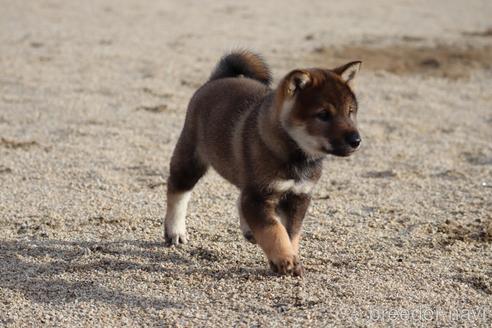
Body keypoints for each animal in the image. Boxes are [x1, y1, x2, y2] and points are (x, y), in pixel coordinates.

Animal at [165, 50, 362, 276]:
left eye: (350, 112)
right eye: (323, 115)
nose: (356, 140)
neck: (296, 157)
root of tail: (217, 79)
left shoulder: (297, 197)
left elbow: (291, 233)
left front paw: (288, 256)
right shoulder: (259, 195)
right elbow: (274, 230)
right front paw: (285, 259)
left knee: (239, 199)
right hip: (191, 159)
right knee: (178, 193)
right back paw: (175, 231)